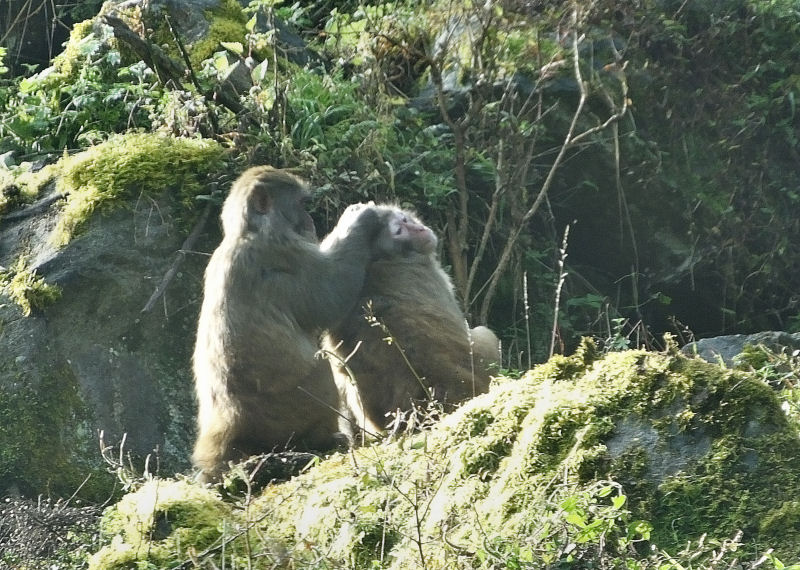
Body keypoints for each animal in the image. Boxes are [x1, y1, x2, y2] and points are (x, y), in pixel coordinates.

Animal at [320, 204, 496, 434]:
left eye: (404, 220)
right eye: (399, 231)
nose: (419, 228)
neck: (382, 258)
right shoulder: (426, 270)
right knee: (486, 333)